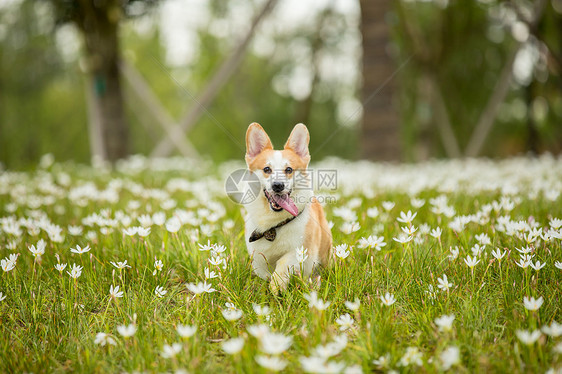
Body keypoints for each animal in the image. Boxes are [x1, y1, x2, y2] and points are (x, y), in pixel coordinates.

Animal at [243, 122, 330, 292]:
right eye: (267, 169)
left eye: (289, 169)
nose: (278, 185)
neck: (274, 225)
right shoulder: (257, 256)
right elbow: (264, 271)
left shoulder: (300, 249)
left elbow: (284, 263)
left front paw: (277, 285)